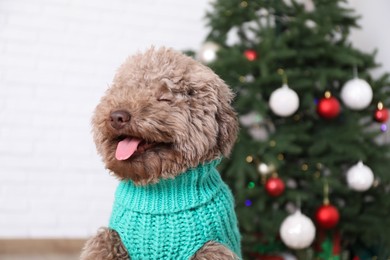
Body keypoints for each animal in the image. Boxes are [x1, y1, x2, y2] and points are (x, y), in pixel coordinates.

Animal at [81, 47, 241, 260]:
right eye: (122, 90)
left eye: (164, 97)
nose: (117, 116)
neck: (159, 197)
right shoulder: (112, 238)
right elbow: (104, 243)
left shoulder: (215, 246)